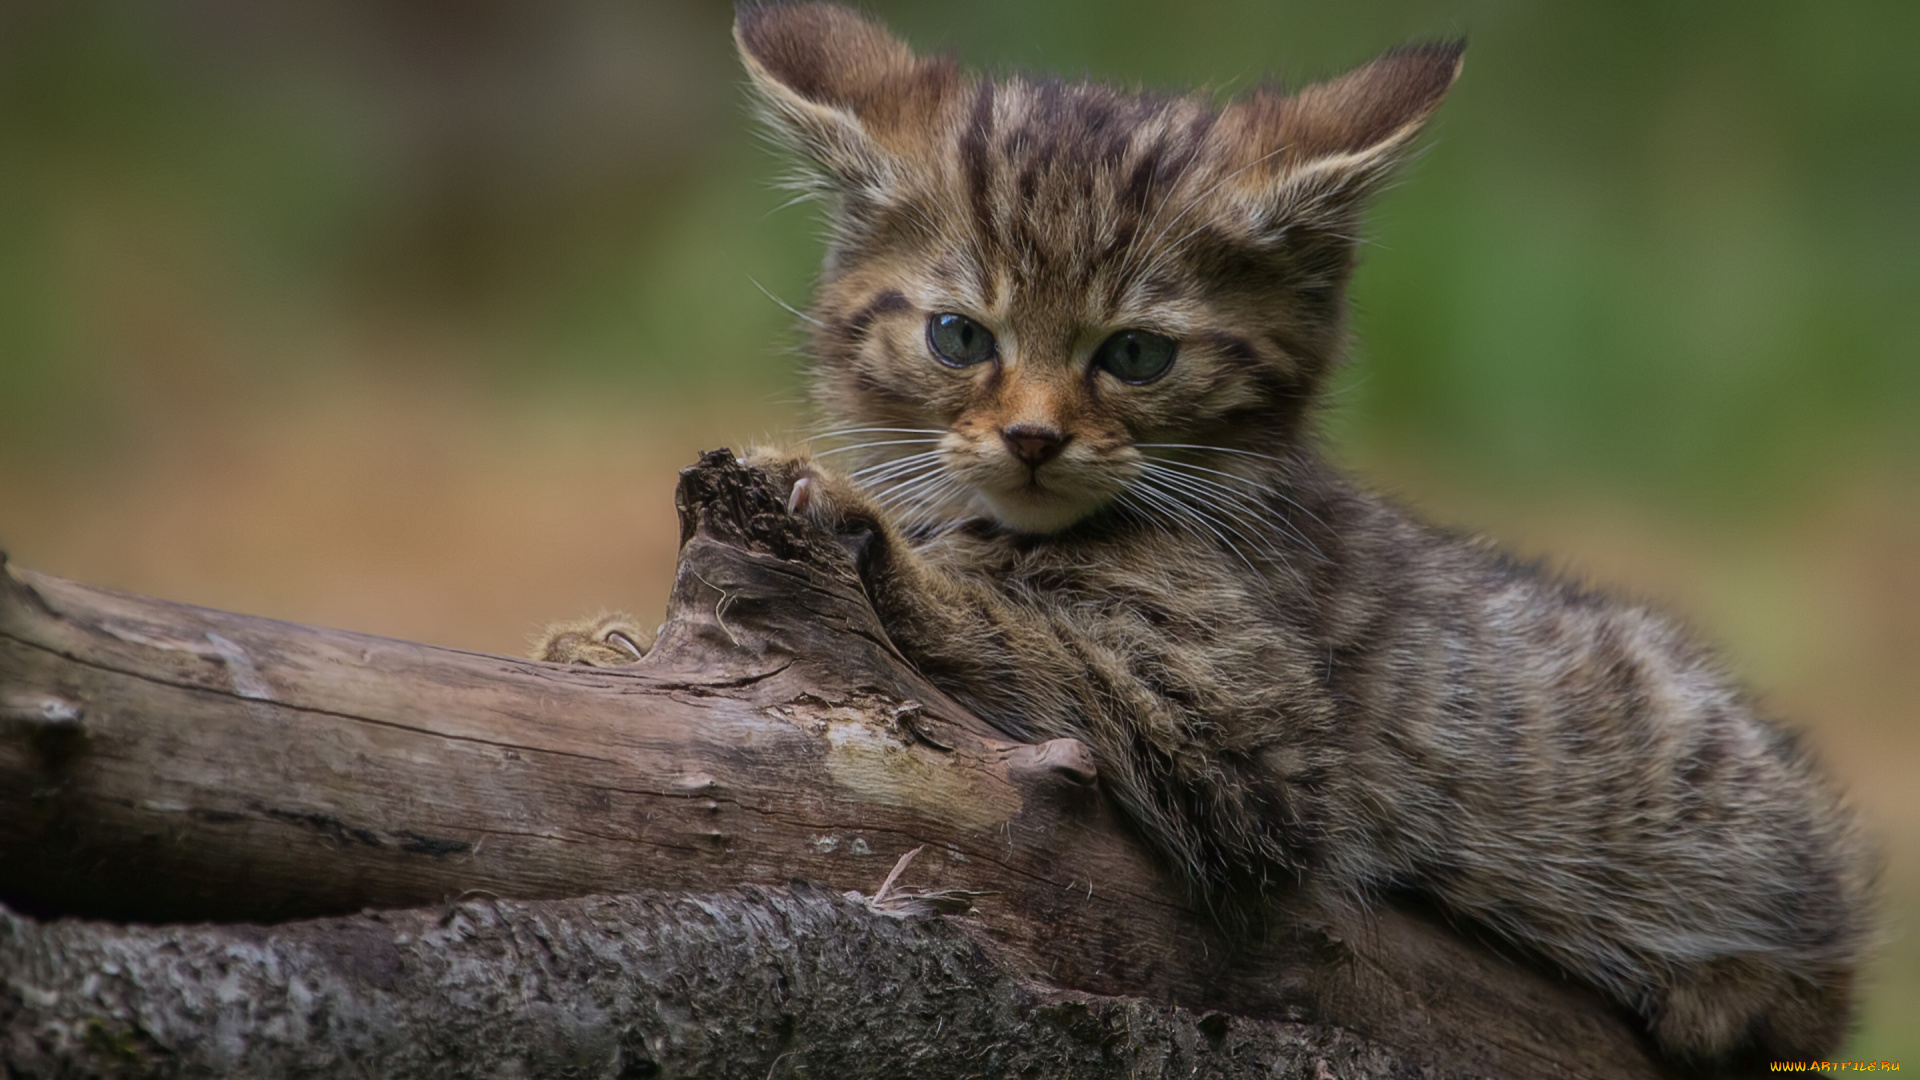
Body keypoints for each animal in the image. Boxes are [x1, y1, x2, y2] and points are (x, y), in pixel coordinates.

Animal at [537, 6, 1873, 1068]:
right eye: (960, 337)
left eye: (1135, 355)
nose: (1033, 438)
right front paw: (606, 645)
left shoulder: (1254, 738)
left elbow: (1021, 627)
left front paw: (875, 534)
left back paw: (1731, 983)